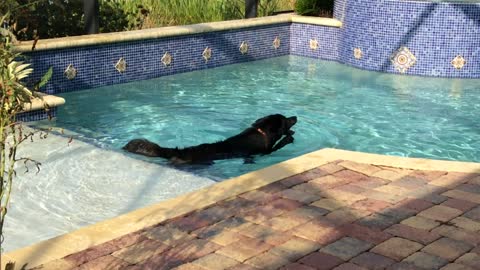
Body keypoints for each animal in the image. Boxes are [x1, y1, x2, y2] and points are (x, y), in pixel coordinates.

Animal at [123, 113, 296, 163]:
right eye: (286, 120)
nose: (295, 117)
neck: (261, 132)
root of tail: (177, 151)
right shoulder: (265, 152)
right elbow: (278, 145)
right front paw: (288, 138)